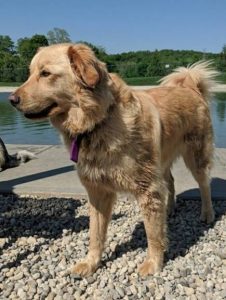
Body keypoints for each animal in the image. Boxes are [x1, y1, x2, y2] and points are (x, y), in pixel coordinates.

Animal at [9, 42, 219, 276]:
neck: (98, 121)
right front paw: (91, 263)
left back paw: (207, 213)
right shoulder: (97, 190)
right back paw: (169, 208)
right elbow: (95, 233)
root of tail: (191, 87)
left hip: (195, 156)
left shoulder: (147, 187)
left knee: (204, 185)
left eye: (45, 73)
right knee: (170, 182)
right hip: (161, 160)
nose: (12, 99)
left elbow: (153, 233)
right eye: (30, 73)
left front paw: (153, 263)